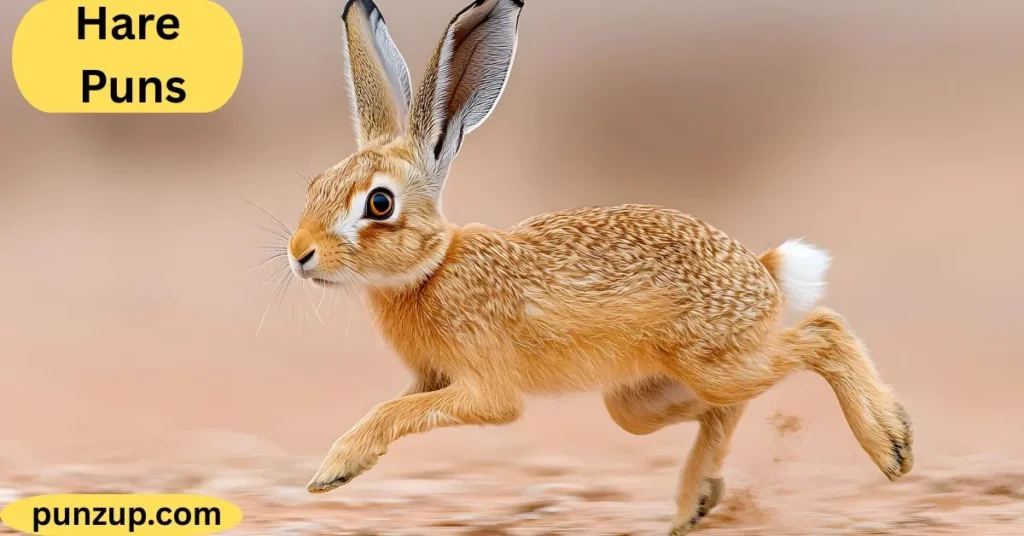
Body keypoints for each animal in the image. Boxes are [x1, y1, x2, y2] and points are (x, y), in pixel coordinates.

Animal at [286, 0, 914, 534]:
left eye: (379, 204)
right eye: (315, 186)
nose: (299, 254)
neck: (431, 269)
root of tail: (761, 273)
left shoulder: (484, 388)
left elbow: (400, 409)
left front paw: (334, 469)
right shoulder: (431, 378)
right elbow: (396, 403)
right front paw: (342, 469)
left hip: (718, 361)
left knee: (824, 333)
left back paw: (891, 444)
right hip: (640, 397)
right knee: (724, 404)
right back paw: (695, 502)